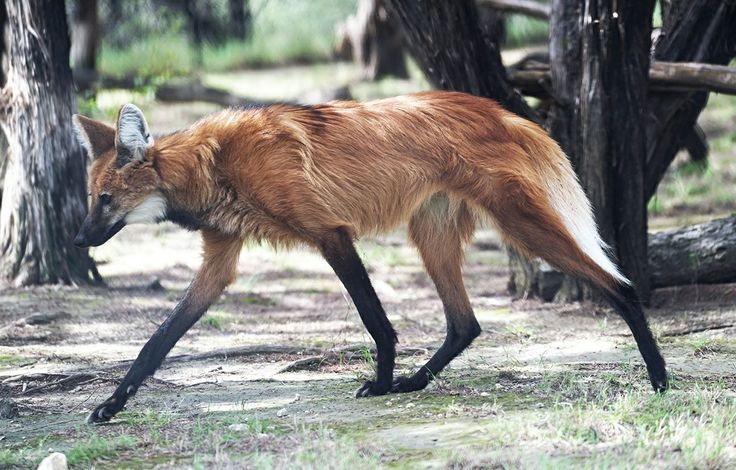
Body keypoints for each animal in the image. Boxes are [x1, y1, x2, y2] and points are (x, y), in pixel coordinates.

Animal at [73, 91, 668, 422]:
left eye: (105, 200)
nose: (79, 242)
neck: (214, 167)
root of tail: (505, 111)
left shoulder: (329, 233)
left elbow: (375, 319)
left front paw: (379, 383)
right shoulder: (220, 261)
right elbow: (156, 342)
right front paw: (111, 405)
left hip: (521, 226)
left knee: (620, 286)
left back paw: (660, 381)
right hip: (431, 235)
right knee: (466, 324)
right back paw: (417, 382)